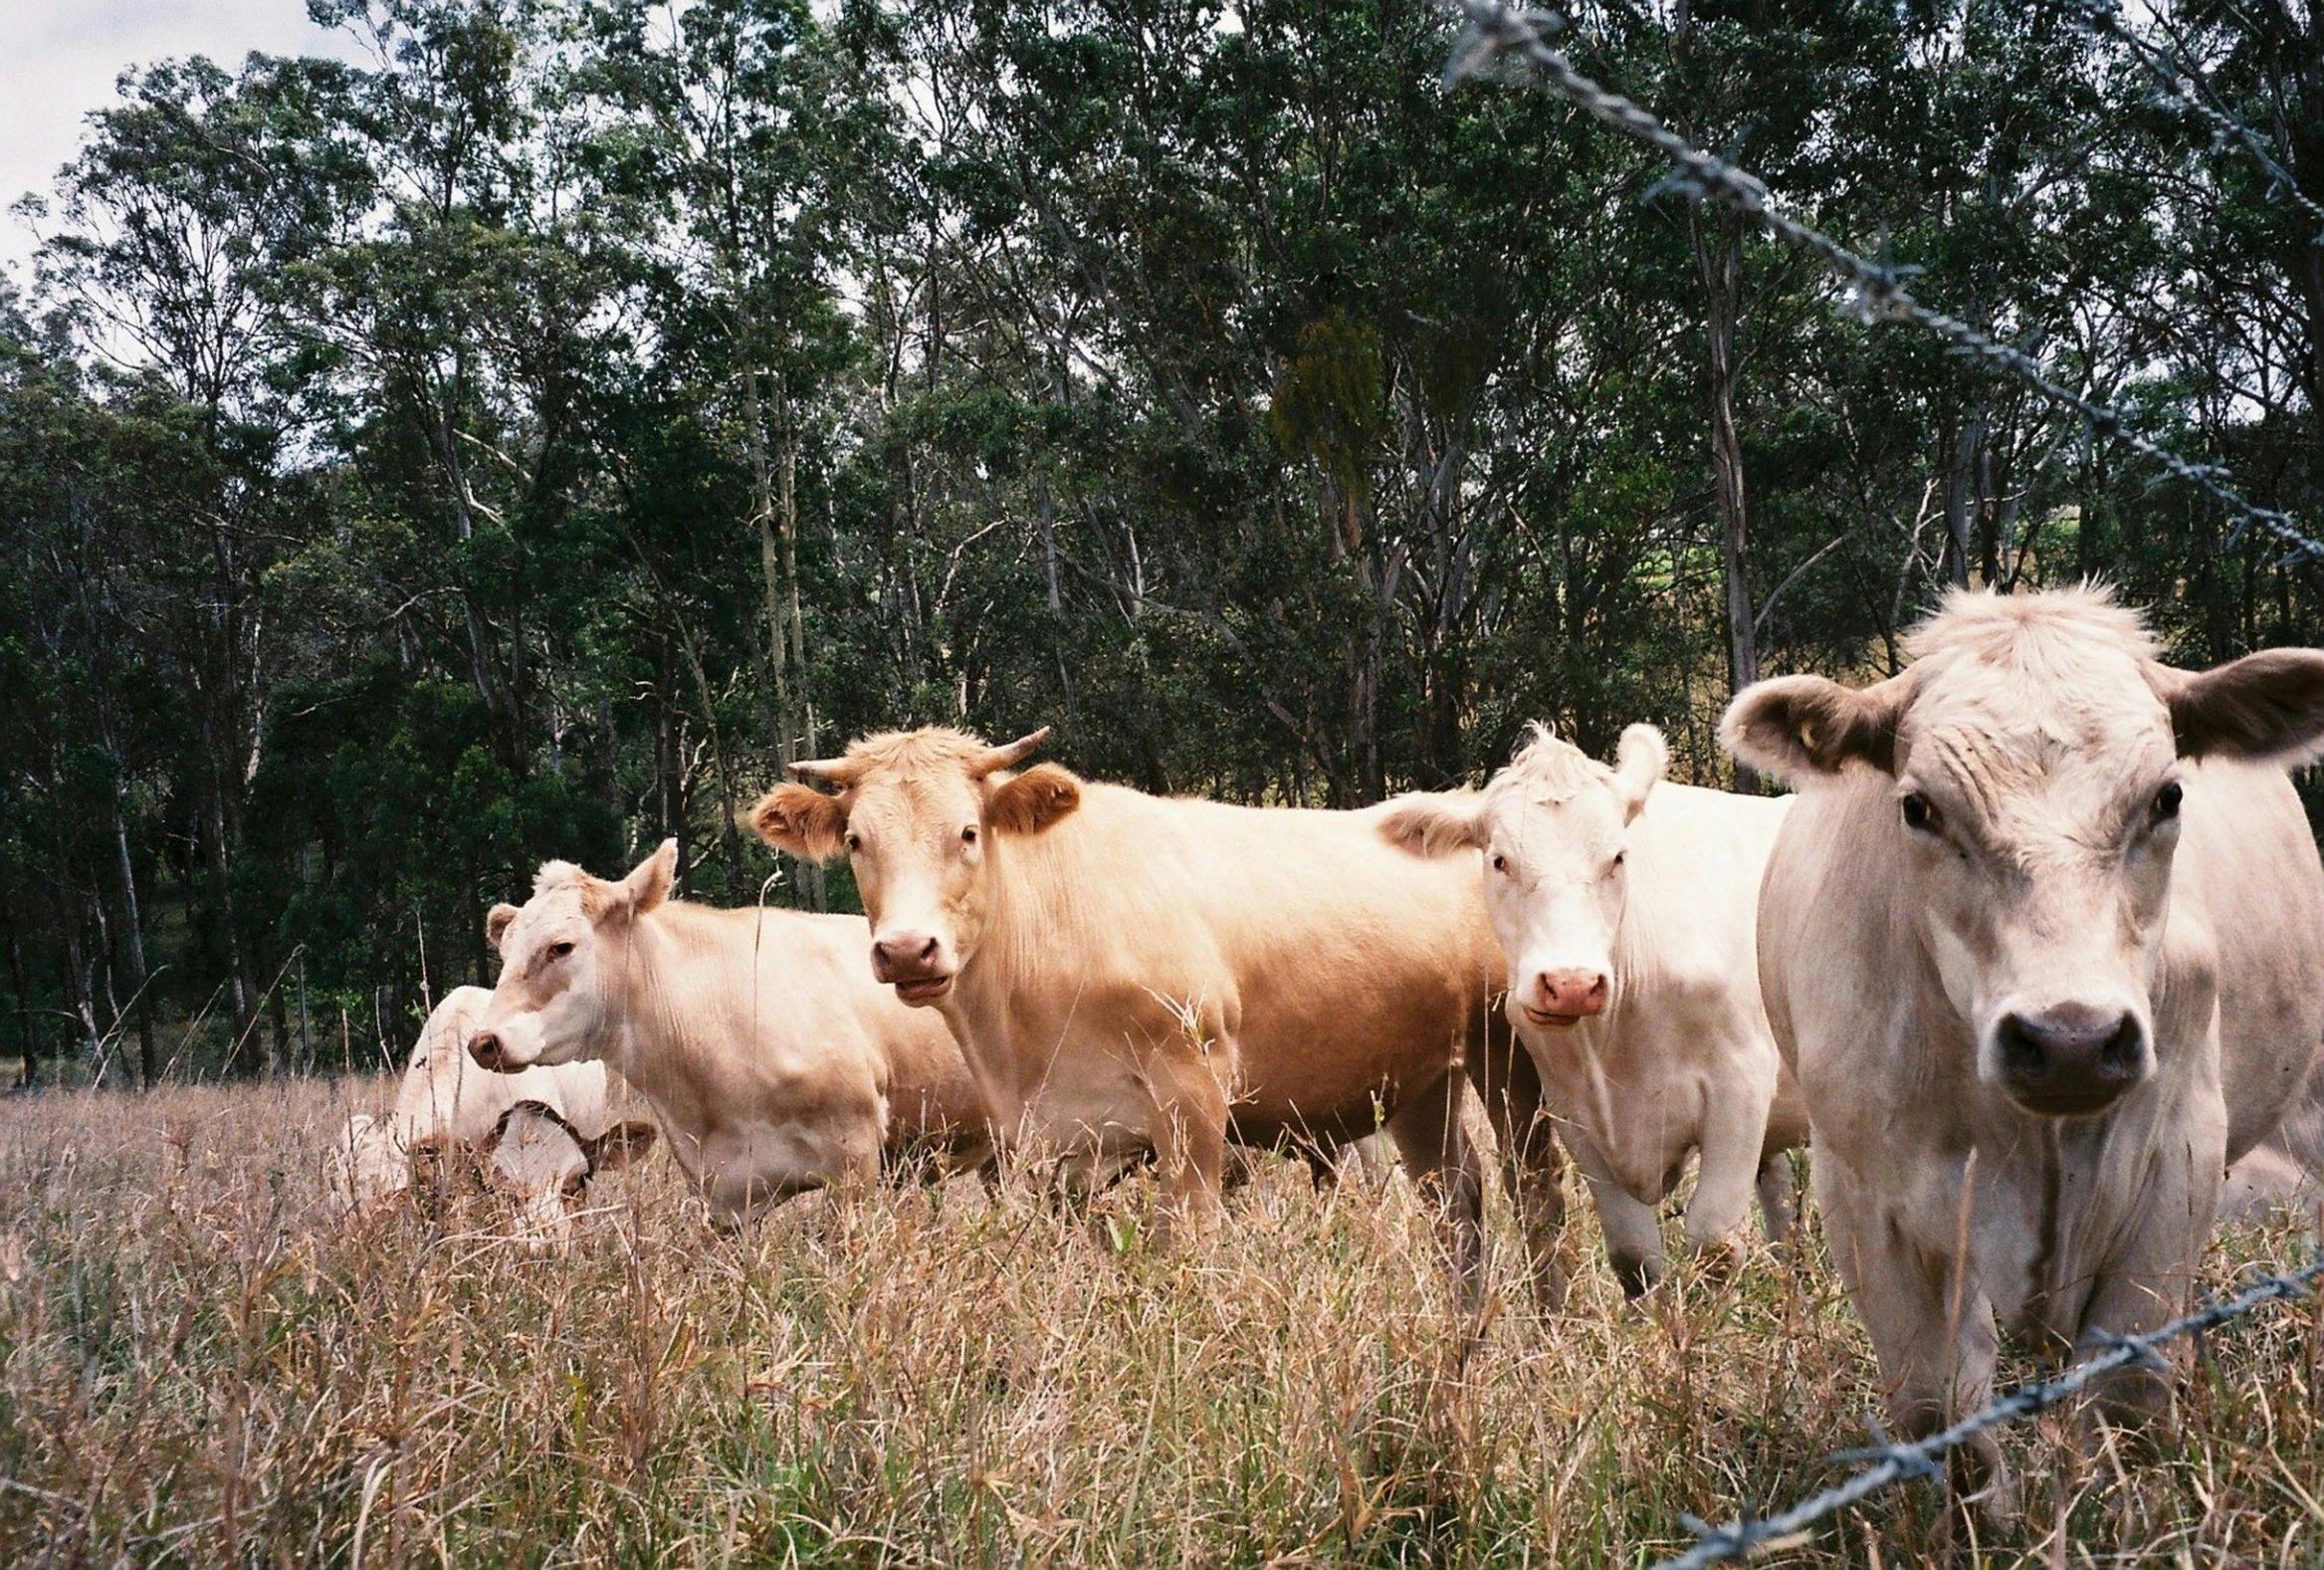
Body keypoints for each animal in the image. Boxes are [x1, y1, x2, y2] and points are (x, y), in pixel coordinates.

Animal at [752, 725, 1571, 1302]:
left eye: (968, 831)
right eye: (857, 839)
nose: (906, 950)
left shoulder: (1193, 1098)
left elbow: (1189, 1240)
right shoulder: (1049, 1142)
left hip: (1509, 1055)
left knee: (1534, 1190)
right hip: (1419, 1077)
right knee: (1455, 1198)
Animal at [1366, 725, 1802, 1292]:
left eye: (1617, 857)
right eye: (1499, 860)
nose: (1571, 983)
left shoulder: (1740, 1090)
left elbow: (1715, 1245)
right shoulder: (1576, 1114)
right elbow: (1634, 1256)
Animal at [1719, 583, 2324, 1516]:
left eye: (2167, 796)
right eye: (1918, 806)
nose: (2070, 1039)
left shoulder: (2179, 1155)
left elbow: (2126, 1393)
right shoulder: (1865, 1196)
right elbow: (1939, 1410)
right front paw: (1988, 1519)